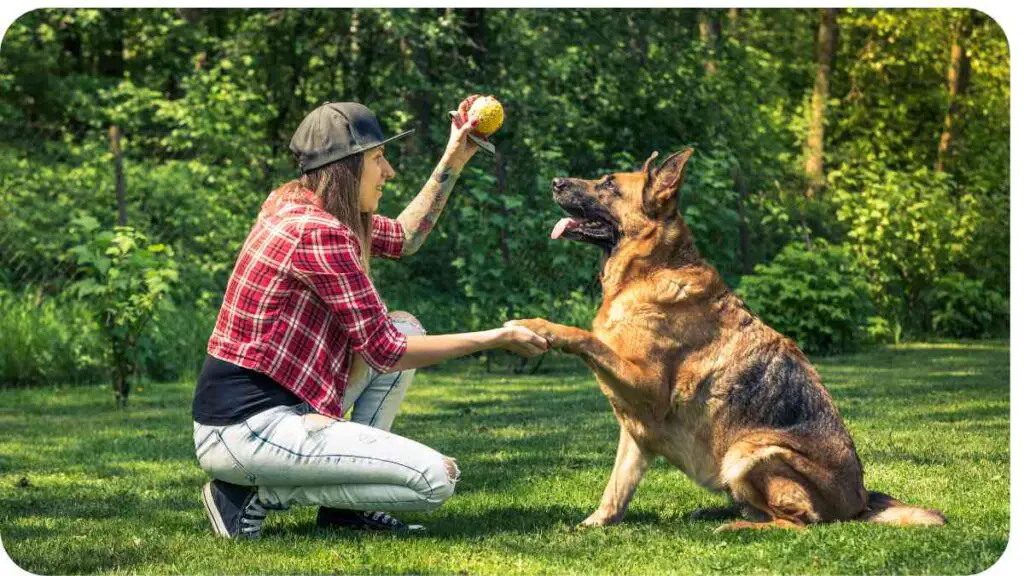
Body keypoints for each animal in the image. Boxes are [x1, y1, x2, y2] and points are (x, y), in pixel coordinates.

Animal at [507, 148, 946, 528]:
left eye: (609, 184)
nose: (556, 181)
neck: (649, 270)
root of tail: (860, 502)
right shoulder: (636, 431)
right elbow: (616, 489)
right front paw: (595, 524)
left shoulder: (647, 387)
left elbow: (585, 338)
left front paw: (540, 326)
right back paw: (719, 512)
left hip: (749, 453)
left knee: (795, 522)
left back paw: (738, 526)